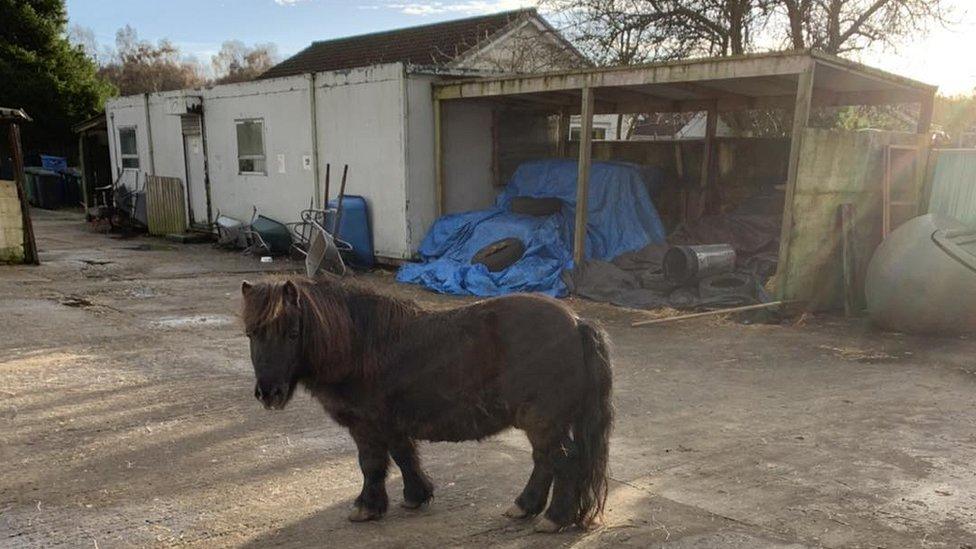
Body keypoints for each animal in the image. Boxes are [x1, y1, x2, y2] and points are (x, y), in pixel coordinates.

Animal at [238, 276, 608, 532]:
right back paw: (525, 506)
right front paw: (416, 496)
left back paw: (554, 518)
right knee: (545, 461)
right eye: (252, 334)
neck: (360, 346)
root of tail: (576, 322)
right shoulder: (391, 424)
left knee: (564, 461)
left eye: (292, 333)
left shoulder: (366, 426)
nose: (269, 393)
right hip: (543, 421)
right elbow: (404, 456)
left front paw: (366, 507)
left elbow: (371, 465)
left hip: (543, 419)